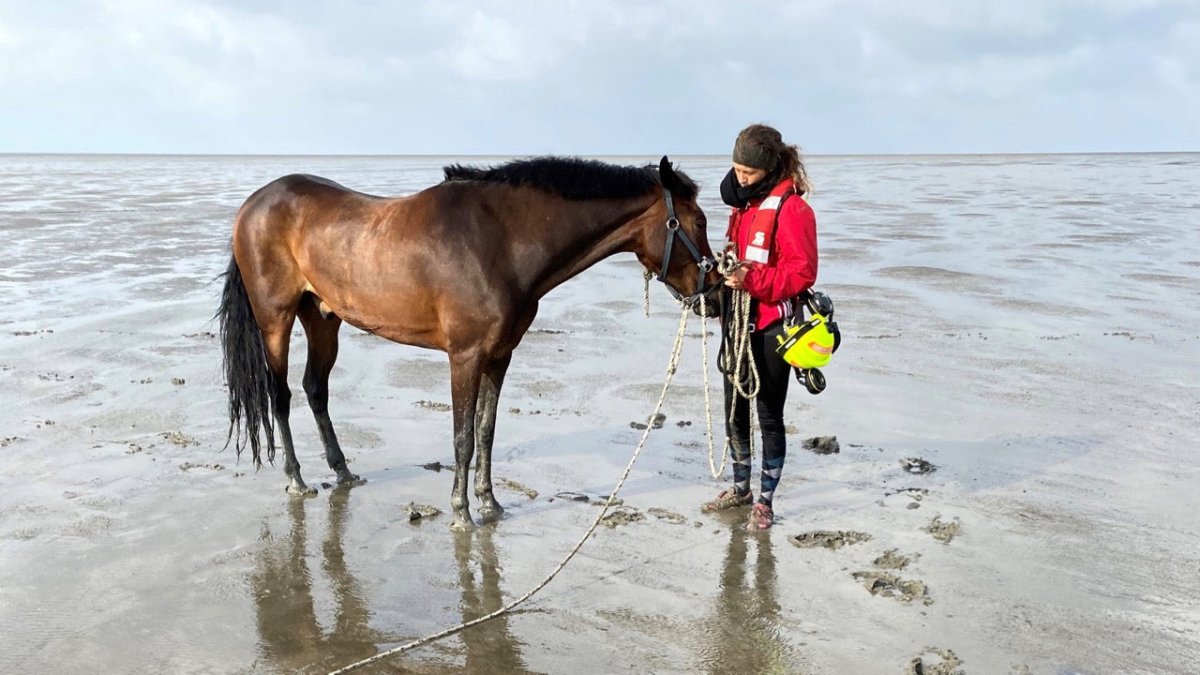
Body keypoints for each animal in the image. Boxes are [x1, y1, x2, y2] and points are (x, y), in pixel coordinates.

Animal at [218, 155, 721, 530]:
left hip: (323, 318)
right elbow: (461, 436)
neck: (501, 242)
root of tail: (252, 205)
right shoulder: (464, 356)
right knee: (280, 394)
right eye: (697, 220)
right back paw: (297, 479)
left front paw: (489, 502)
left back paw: (341, 470)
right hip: (276, 321)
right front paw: (461, 512)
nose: (715, 294)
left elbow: (485, 431)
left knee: (315, 389)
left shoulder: (500, 356)